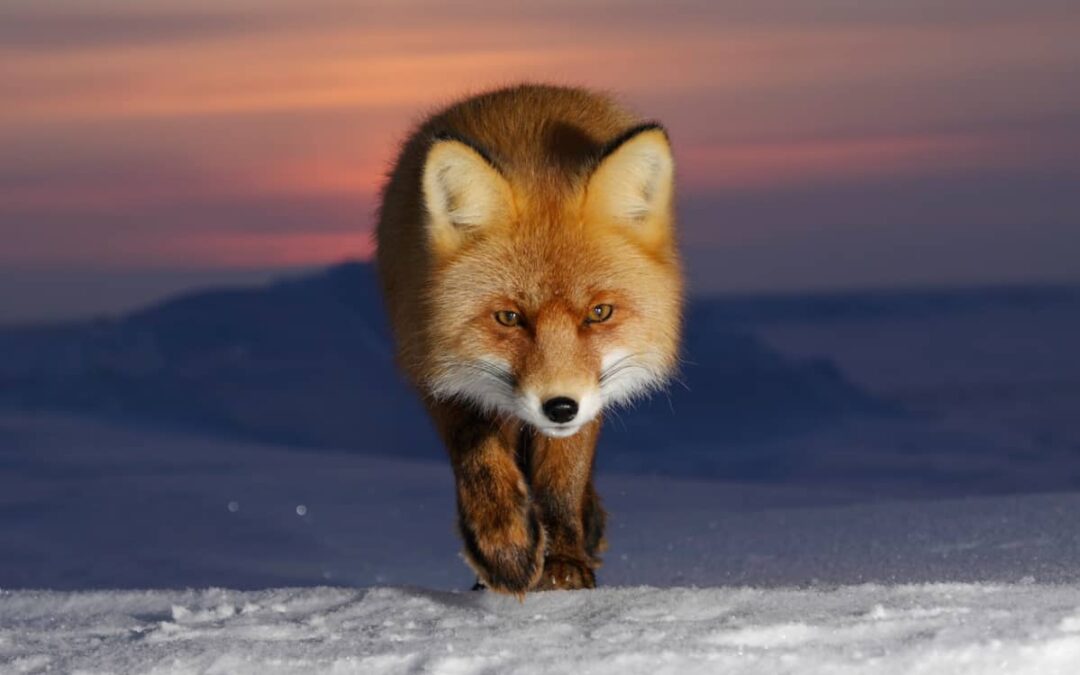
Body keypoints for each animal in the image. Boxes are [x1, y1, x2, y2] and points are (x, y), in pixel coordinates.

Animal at [375, 84, 684, 596]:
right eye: (509, 318)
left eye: (599, 313)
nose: (559, 407)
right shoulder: (433, 366)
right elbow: (479, 458)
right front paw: (505, 545)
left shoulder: (588, 395)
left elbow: (563, 475)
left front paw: (561, 559)